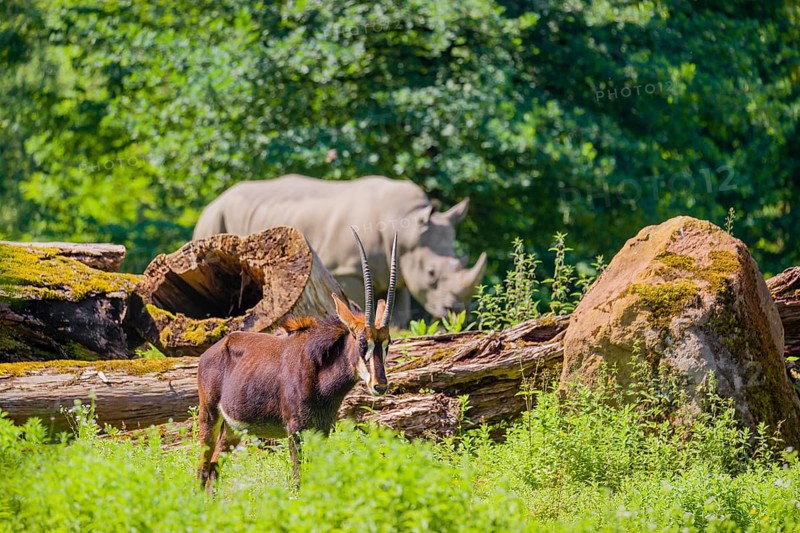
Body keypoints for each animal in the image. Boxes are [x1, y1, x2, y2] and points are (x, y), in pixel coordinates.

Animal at [193, 174, 487, 324]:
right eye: (431, 274)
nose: (456, 310)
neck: (405, 226)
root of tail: (215, 200)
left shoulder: (399, 271)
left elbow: (398, 316)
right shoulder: (348, 269)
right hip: (213, 218)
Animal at [197, 229, 397, 492]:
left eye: (388, 343)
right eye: (362, 341)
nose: (380, 386)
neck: (319, 371)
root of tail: (211, 352)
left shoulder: (322, 430)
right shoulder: (295, 430)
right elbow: (297, 479)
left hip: (232, 427)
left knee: (214, 467)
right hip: (209, 415)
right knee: (202, 469)